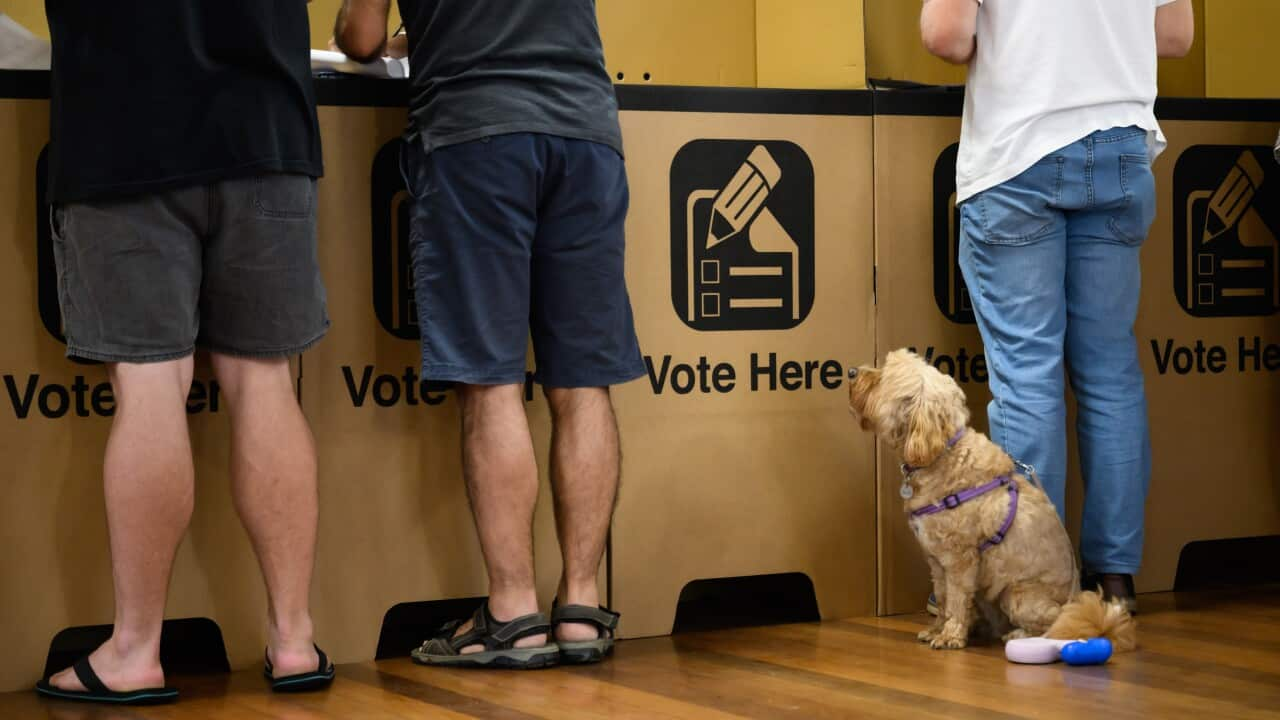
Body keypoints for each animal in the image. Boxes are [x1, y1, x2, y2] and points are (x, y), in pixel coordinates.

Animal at [849, 348, 1131, 650]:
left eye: (883, 377)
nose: (851, 372)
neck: (944, 453)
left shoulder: (960, 561)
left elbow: (956, 600)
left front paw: (950, 635)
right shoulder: (937, 561)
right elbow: (944, 598)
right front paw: (937, 629)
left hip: (1017, 594)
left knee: (1054, 625)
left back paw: (1018, 634)